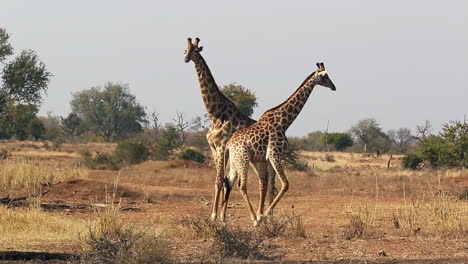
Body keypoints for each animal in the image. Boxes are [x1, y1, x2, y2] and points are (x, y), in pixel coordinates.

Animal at [184, 38, 278, 222]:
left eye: (195, 51)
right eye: (185, 49)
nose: (185, 58)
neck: (215, 114)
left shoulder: (221, 147)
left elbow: (221, 180)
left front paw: (214, 215)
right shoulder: (214, 148)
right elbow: (222, 180)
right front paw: (220, 215)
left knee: (269, 182)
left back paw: (267, 216)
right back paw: (267, 215)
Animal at [223, 63, 336, 226]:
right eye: (325, 76)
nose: (334, 87)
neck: (284, 122)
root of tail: (229, 144)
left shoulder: (271, 157)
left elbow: (270, 187)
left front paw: (267, 217)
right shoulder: (274, 154)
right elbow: (285, 184)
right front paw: (263, 216)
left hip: (235, 160)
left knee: (229, 182)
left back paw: (223, 220)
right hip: (243, 158)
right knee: (241, 185)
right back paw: (253, 219)